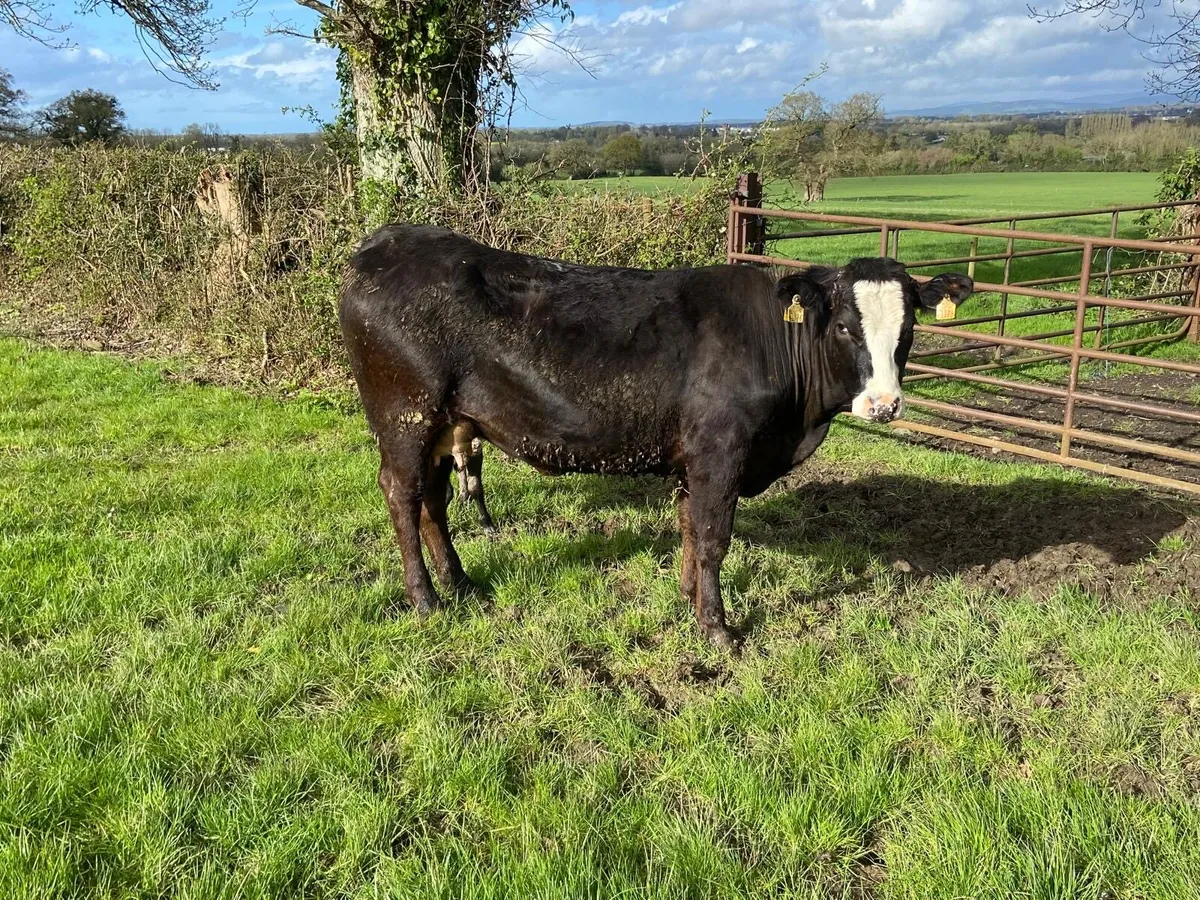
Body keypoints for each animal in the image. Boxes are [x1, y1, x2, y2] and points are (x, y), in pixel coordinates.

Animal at [338, 224, 973, 649]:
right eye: (843, 326)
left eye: (908, 329)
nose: (884, 404)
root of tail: (385, 242)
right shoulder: (720, 452)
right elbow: (714, 538)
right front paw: (718, 629)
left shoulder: (693, 459)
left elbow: (691, 531)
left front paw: (689, 601)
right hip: (404, 416)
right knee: (402, 495)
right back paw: (425, 599)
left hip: (445, 423)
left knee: (433, 501)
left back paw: (460, 582)